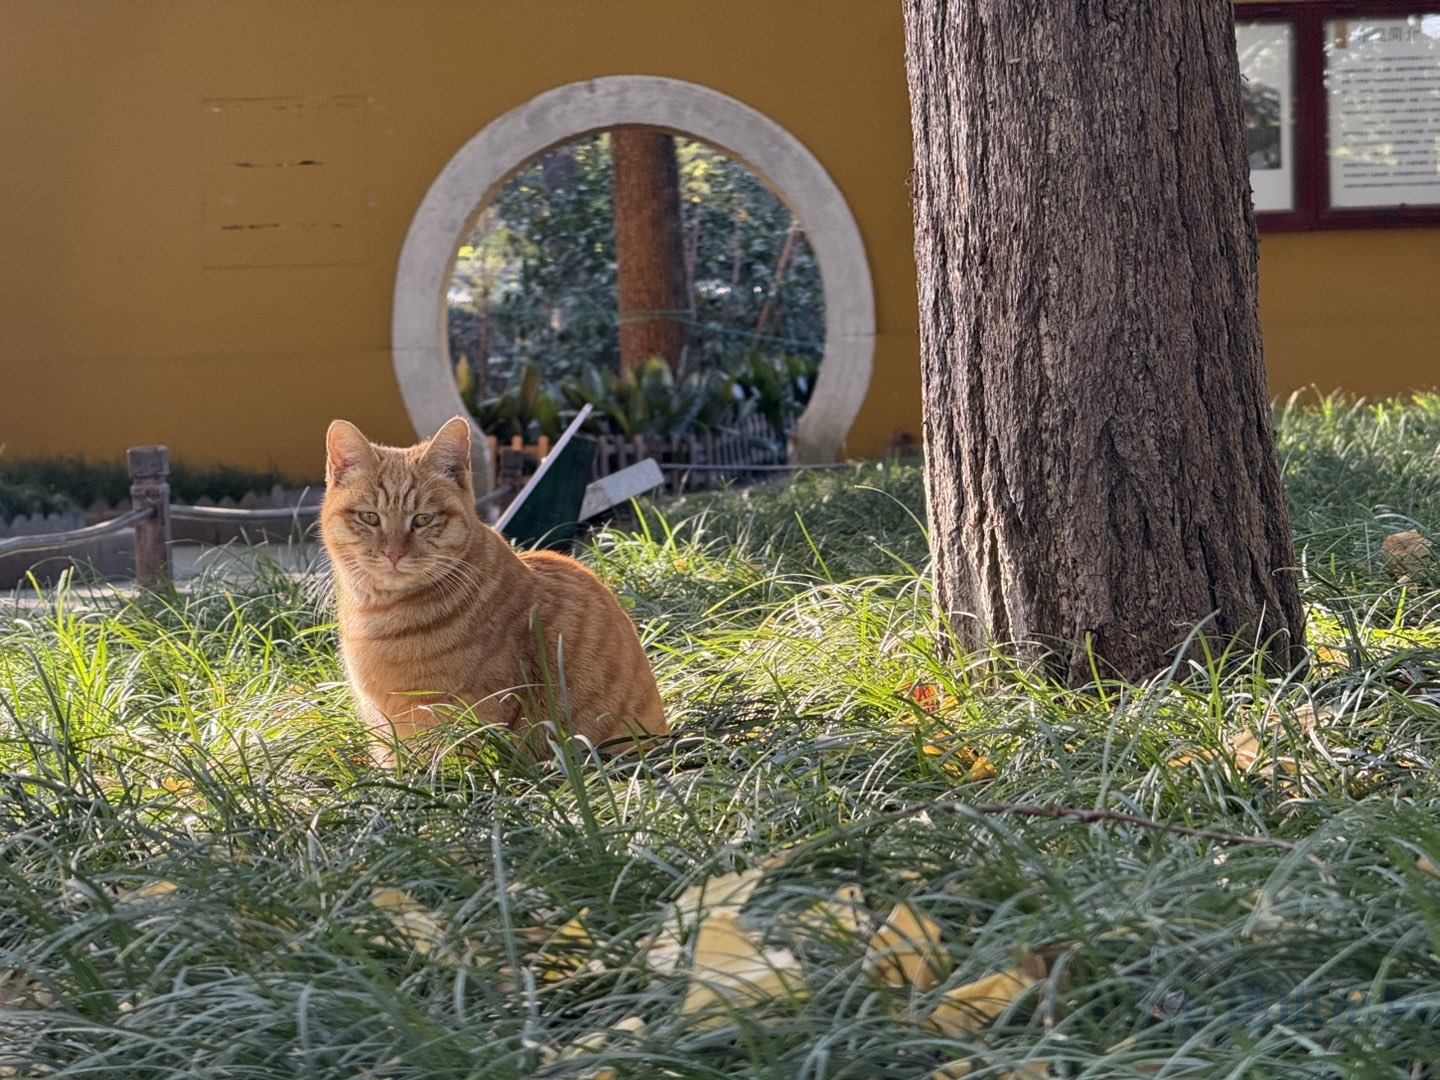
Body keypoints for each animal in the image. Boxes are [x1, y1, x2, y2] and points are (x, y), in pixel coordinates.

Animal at [320, 415, 667, 766]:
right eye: (370, 517)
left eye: (422, 519)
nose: (393, 553)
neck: (379, 612)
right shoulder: (382, 728)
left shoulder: (465, 723)